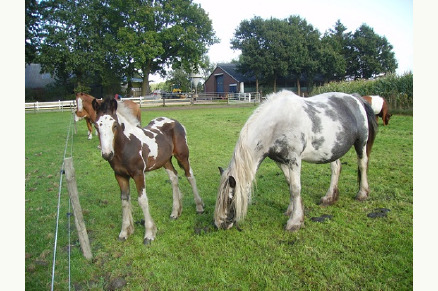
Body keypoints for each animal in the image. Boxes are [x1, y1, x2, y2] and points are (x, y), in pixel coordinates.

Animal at [93, 98, 205, 246]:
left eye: (115, 125)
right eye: (96, 126)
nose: (107, 154)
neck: (127, 145)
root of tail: (176, 122)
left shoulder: (138, 174)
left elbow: (142, 201)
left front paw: (149, 234)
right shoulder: (120, 176)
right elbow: (124, 201)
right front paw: (124, 232)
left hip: (182, 156)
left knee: (190, 176)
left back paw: (199, 206)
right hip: (165, 161)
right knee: (174, 178)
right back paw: (175, 212)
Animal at [214, 91, 378, 233]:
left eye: (230, 199)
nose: (219, 224)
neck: (276, 124)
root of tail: (355, 98)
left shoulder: (294, 160)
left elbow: (295, 188)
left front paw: (295, 222)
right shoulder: (281, 161)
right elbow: (290, 185)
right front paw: (291, 210)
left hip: (361, 143)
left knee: (362, 164)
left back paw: (362, 193)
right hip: (333, 149)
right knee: (336, 168)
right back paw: (329, 198)